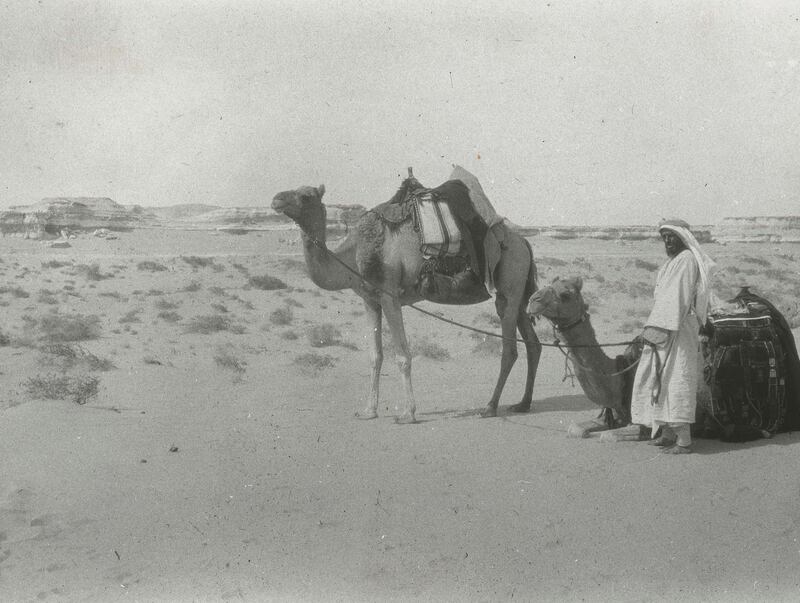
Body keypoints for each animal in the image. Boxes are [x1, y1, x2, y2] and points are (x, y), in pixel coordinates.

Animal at [272, 172, 540, 422]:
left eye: (307, 196)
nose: (276, 199)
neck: (355, 255)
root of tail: (523, 242)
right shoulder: (370, 300)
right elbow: (375, 356)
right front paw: (369, 411)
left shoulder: (389, 295)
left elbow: (402, 356)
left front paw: (408, 413)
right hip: (520, 294)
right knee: (532, 344)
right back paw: (523, 404)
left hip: (509, 284)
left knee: (509, 349)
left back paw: (490, 407)